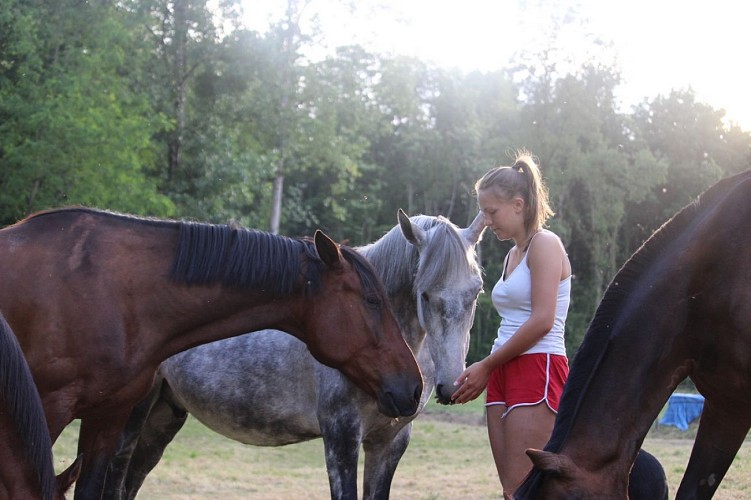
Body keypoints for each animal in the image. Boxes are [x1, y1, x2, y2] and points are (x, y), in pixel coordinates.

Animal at [106, 209, 486, 499]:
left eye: (476, 291)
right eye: (425, 294)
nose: (451, 386)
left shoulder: (389, 442)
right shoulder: (341, 436)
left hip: (163, 417)